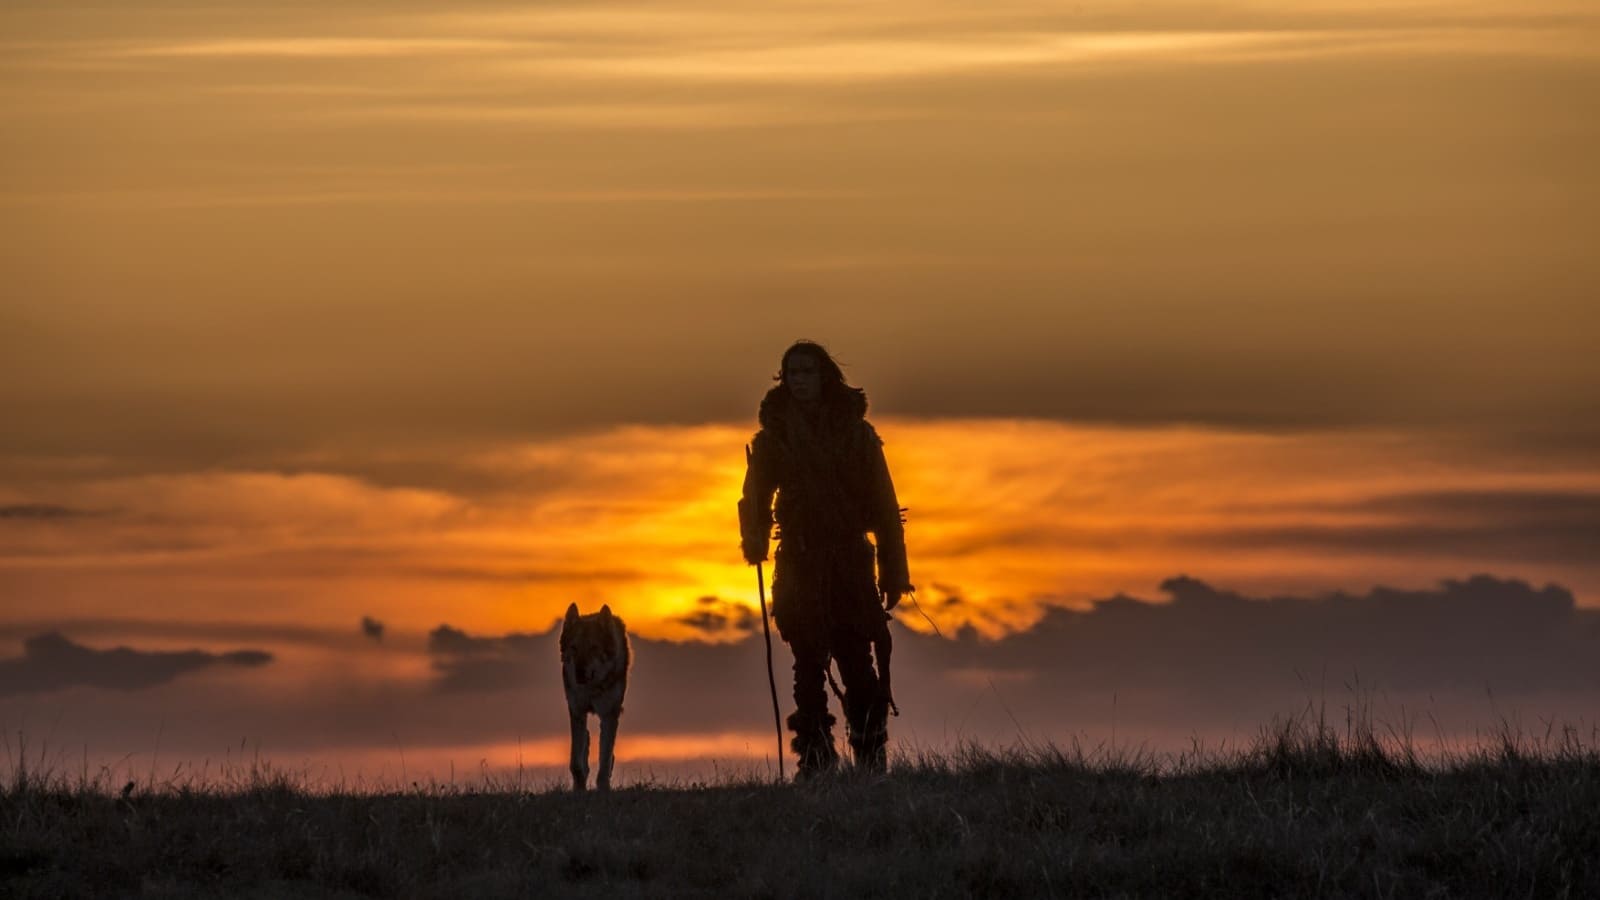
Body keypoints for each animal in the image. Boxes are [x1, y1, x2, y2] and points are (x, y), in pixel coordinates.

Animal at [560, 598, 627, 787]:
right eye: (574, 648)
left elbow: (604, 758)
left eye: (594, 648)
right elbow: (575, 761)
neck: (591, 688)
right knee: (586, 740)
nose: (579, 673)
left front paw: (603, 787)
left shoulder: (609, 714)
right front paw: (579, 787)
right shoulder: (577, 711)